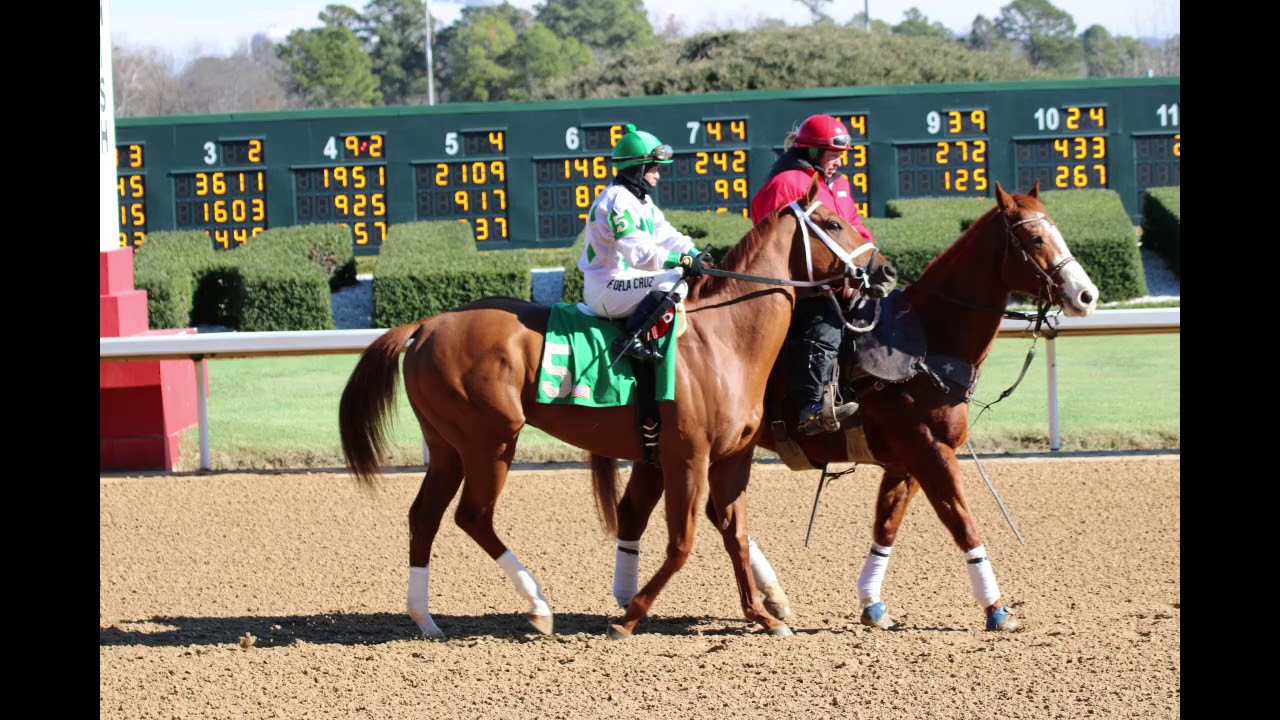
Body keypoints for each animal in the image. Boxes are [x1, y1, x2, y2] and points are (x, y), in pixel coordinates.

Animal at [343, 174, 901, 638]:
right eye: (832, 222)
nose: (886, 270)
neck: (725, 339)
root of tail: (424, 326)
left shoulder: (731, 459)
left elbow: (735, 535)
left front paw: (764, 615)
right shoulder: (686, 458)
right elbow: (682, 543)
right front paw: (628, 616)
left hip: (448, 446)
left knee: (424, 516)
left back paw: (425, 619)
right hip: (491, 440)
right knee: (473, 516)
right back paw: (538, 607)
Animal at [606, 179, 1100, 627]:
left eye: (1057, 230)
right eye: (1034, 238)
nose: (1086, 295)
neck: (924, 343)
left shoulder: (907, 462)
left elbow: (887, 525)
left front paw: (872, 601)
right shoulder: (930, 451)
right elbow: (963, 523)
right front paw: (996, 607)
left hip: (675, 449)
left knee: (664, 511)